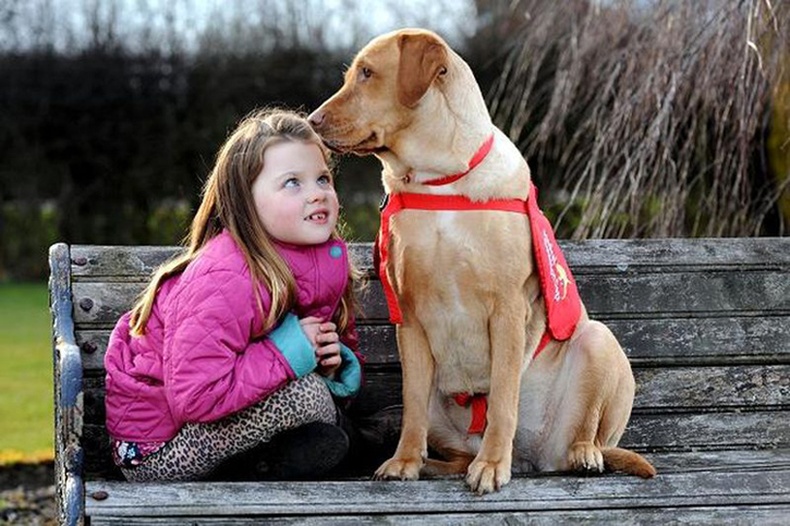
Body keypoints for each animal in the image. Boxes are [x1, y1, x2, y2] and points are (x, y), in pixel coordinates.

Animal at [310, 27, 656, 496]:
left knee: (588, 433)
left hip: (598, 343)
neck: (438, 181)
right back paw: (434, 464)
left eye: (367, 73)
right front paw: (405, 461)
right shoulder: (409, 319)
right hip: (436, 403)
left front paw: (492, 465)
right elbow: (413, 406)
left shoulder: (507, 311)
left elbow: (504, 400)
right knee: (444, 439)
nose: (311, 120)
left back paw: (581, 453)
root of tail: (532, 459)